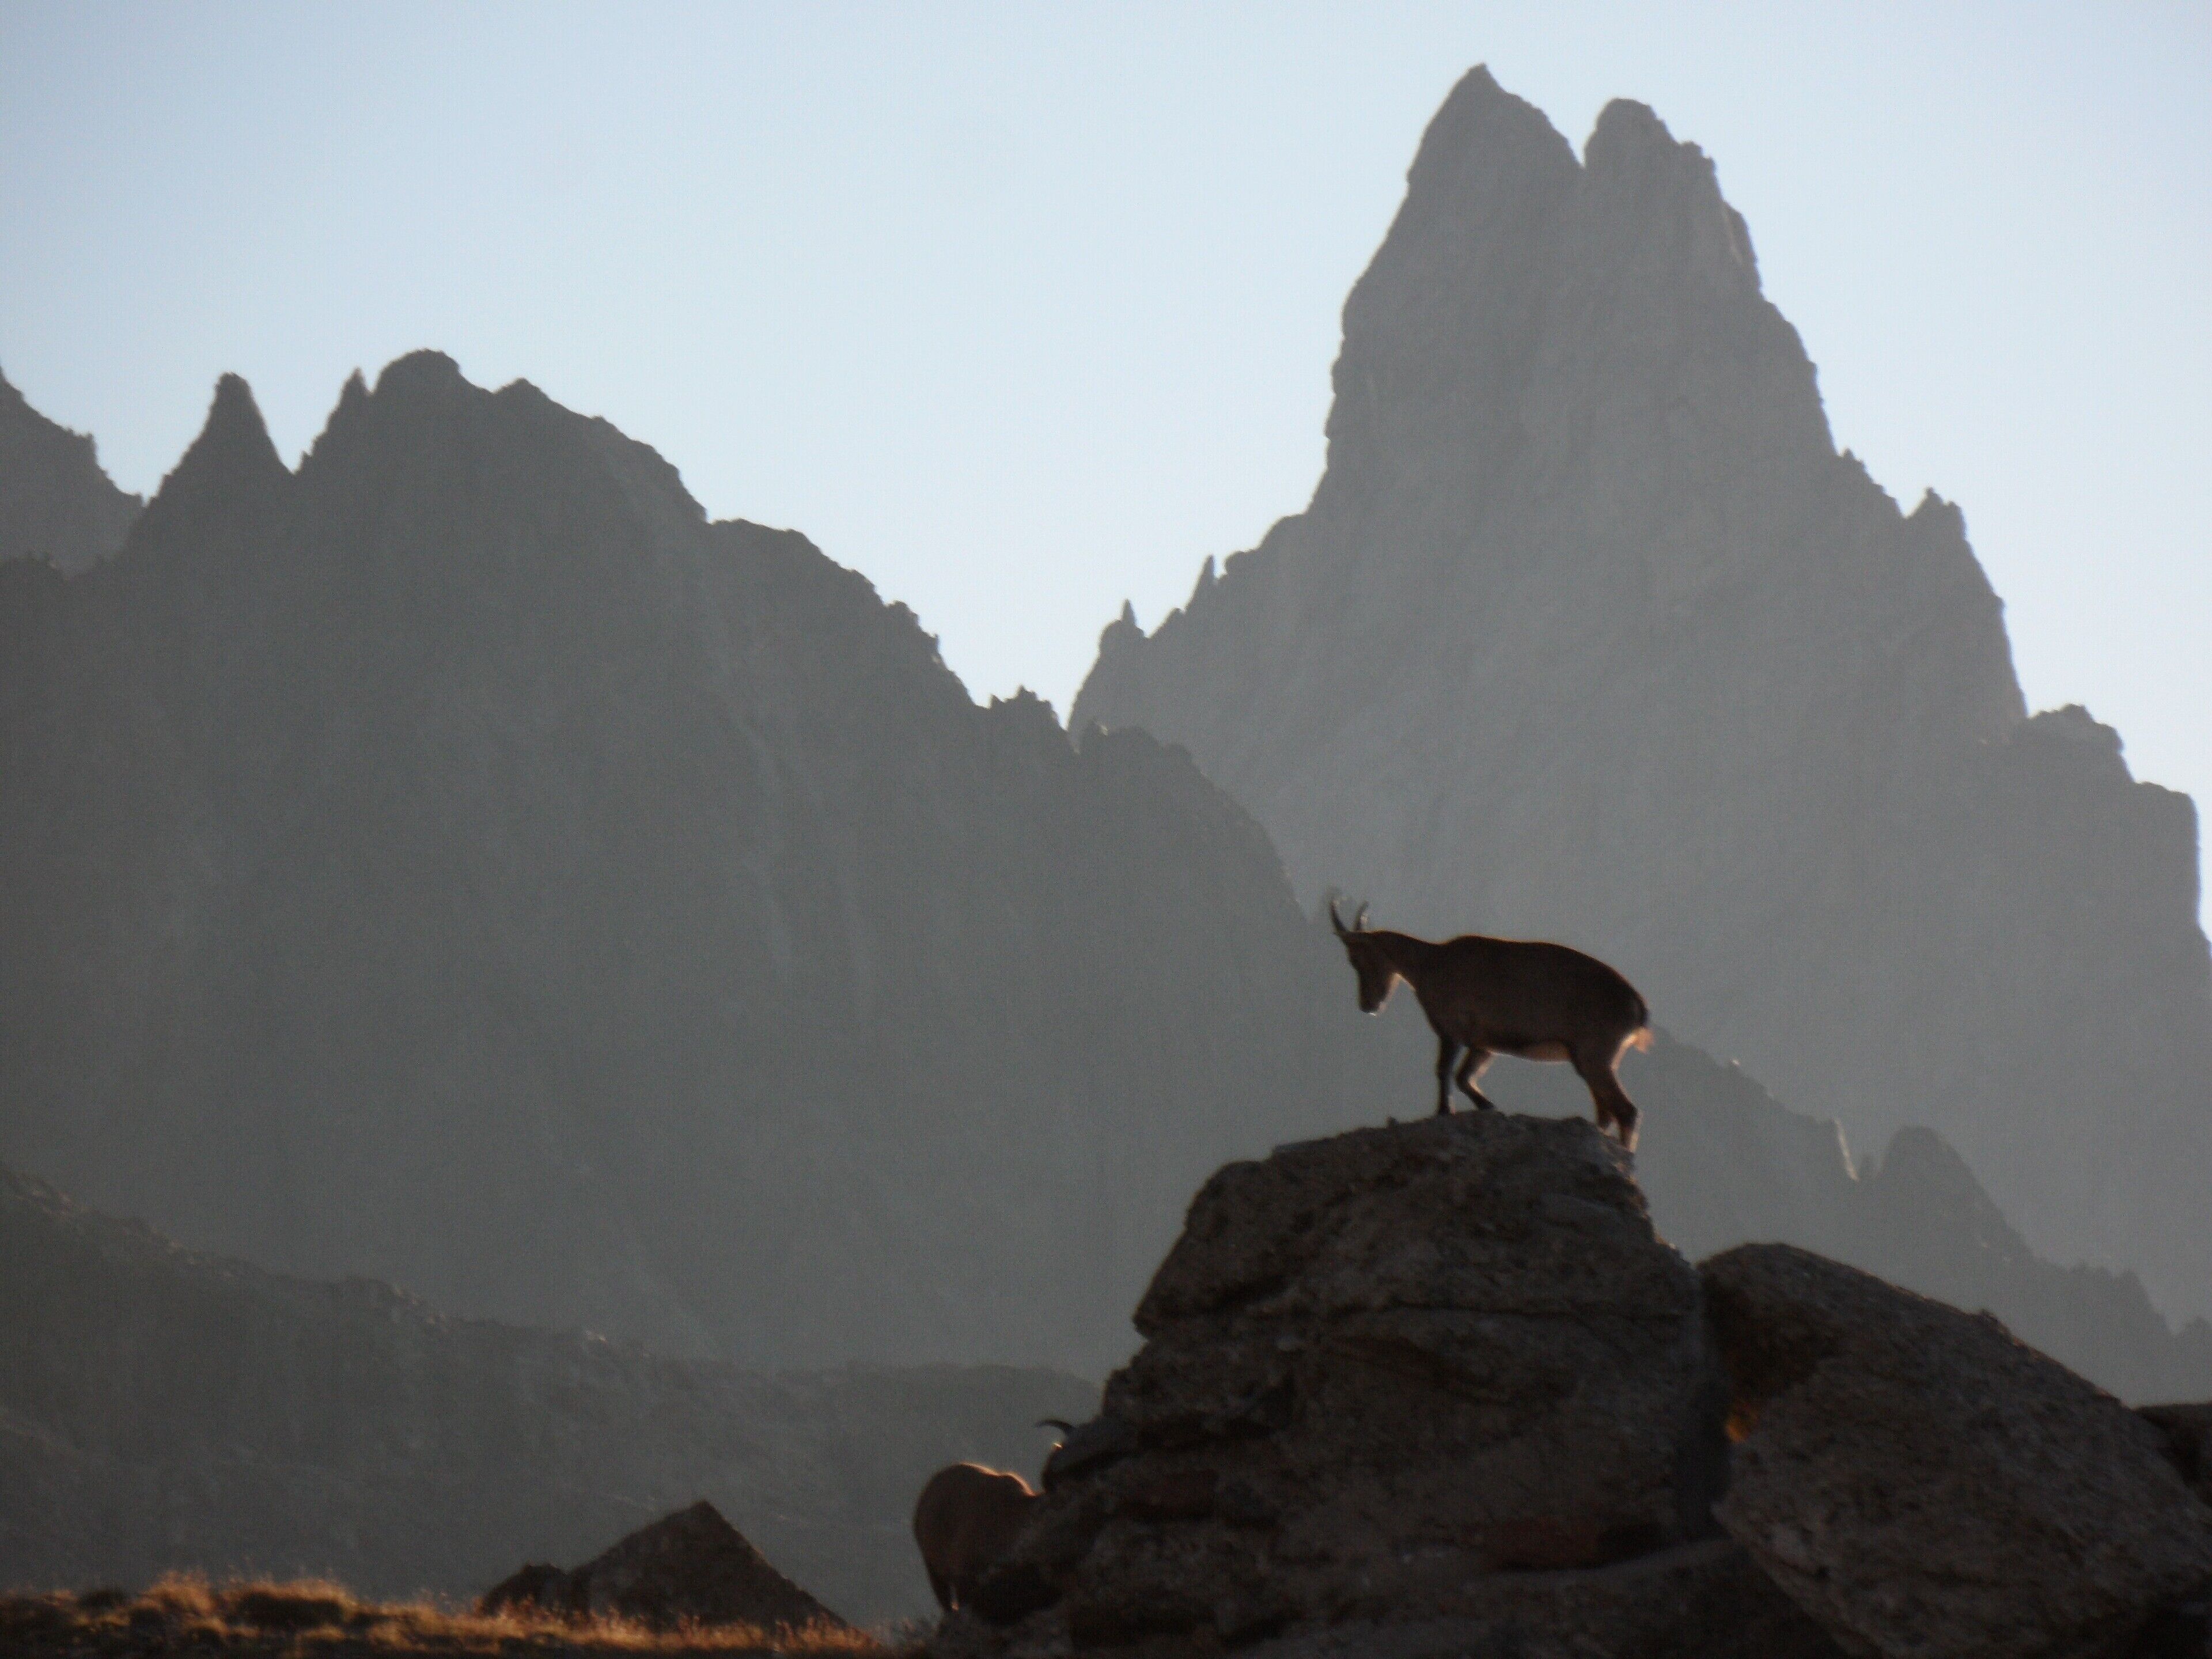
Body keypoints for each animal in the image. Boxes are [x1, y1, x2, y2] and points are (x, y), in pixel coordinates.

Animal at [1329, 897, 1651, 1150]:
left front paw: (1445, 1111)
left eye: (1355, 959)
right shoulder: (1484, 1045)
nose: (1368, 1005)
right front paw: (1487, 1106)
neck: (1430, 964)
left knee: (1627, 1111)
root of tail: (1637, 1004)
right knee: (1608, 1112)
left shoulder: (1452, 1032)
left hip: (1594, 1055)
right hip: (1592, 1060)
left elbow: (1444, 1071)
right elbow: (1463, 1077)